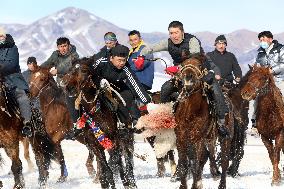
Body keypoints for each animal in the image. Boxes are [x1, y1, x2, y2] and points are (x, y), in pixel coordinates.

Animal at [60, 57, 138, 188]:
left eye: (84, 70)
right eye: (70, 70)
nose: (69, 88)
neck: (96, 113)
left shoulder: (114, 141)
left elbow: (117, 164)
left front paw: (124, 181)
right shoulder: (94, 145)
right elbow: (106, 169)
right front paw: (106, 183)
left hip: (126, 138)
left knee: (127, 159)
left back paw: (130, 181)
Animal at [174, 56, 234, 189]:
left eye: (200, 65)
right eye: (183, 64)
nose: (188, 76)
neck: (189, 113)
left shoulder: (197, 139)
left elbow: (195, 166)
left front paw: (195, 185)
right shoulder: (180, 138)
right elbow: (183, 165)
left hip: (225, 138)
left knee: (224, 161)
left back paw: (222, 184)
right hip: (210, 138)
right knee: (207, 156)